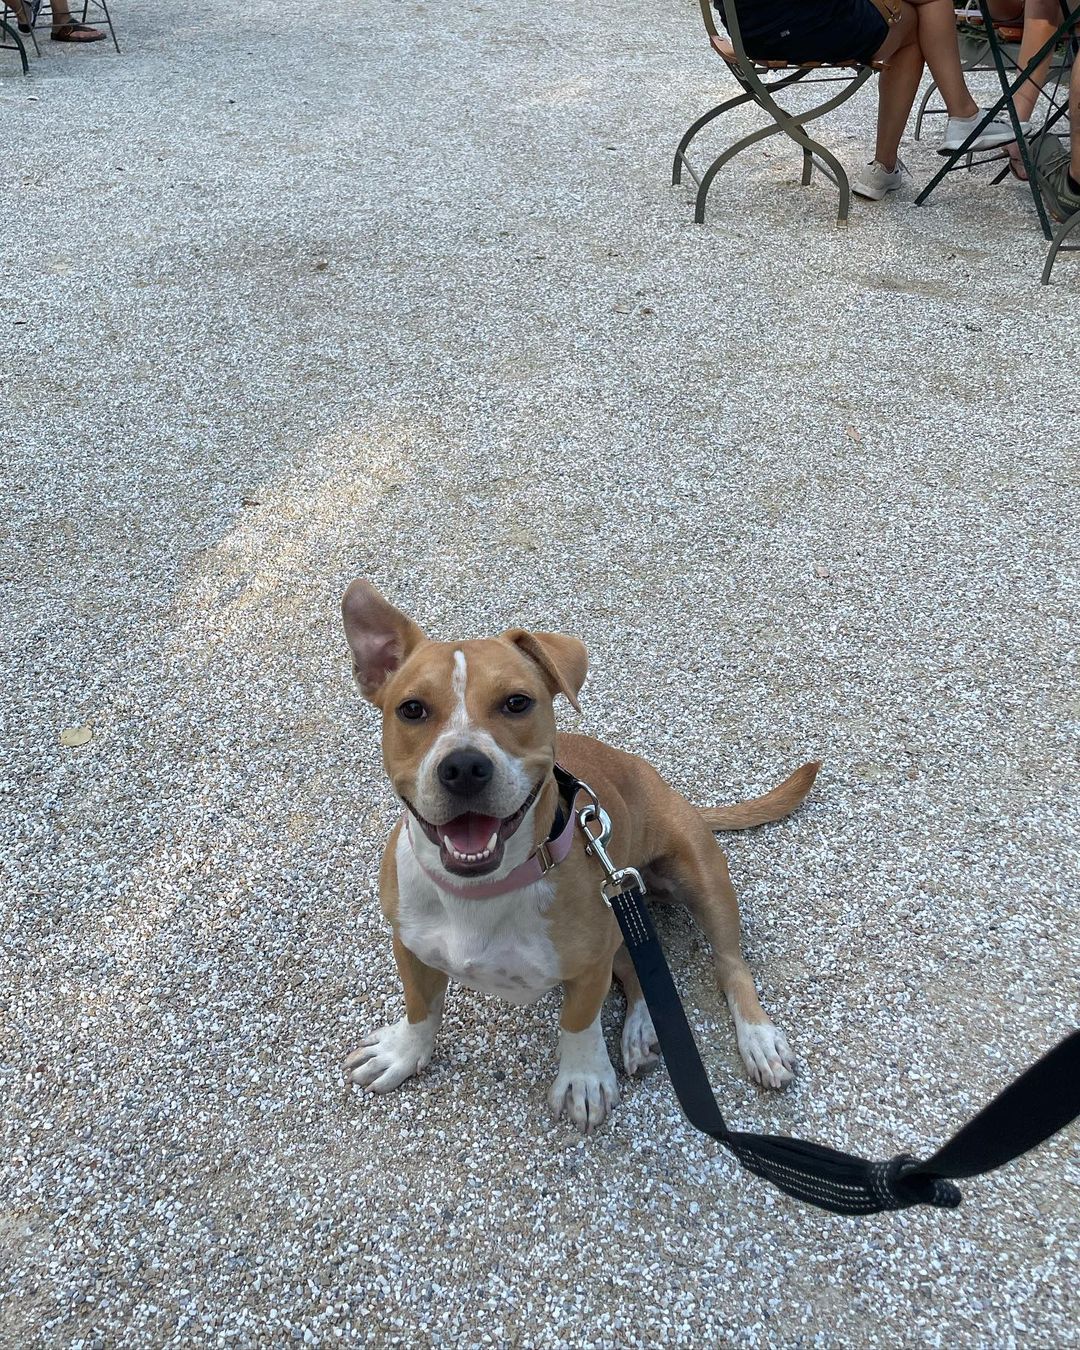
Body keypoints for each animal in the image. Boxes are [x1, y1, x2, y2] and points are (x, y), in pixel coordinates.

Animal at [340, 580, 820, 1128]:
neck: (482, 889)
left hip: (698, 881)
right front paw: (403, 1053)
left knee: (730, 965)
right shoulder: (410, 945)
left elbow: (579, 1021)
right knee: (638, 974)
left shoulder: (589, 965)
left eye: (517, 702)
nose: (463, 767)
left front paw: (584, 1077)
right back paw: (642, 1031)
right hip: (625, 910)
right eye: (412, 709)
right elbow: (421, 1008)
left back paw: (755, 1039)